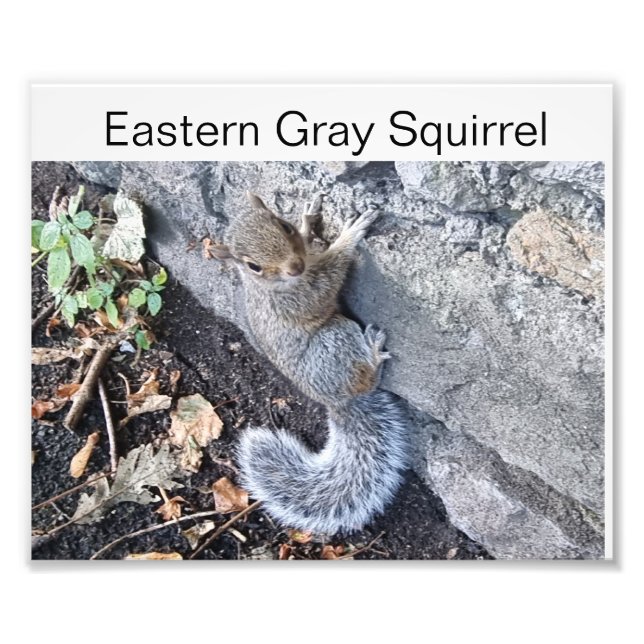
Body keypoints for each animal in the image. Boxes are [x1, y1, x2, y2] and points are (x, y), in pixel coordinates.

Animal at [213, 191, 409, 534]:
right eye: (253, 266)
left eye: (284, 226)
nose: (295, 266)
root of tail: (337, 401)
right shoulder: (299, 297)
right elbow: (329, 276)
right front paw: (349, 235)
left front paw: (308, 223)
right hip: (336, 339)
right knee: (365, 378)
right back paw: (373, 352)